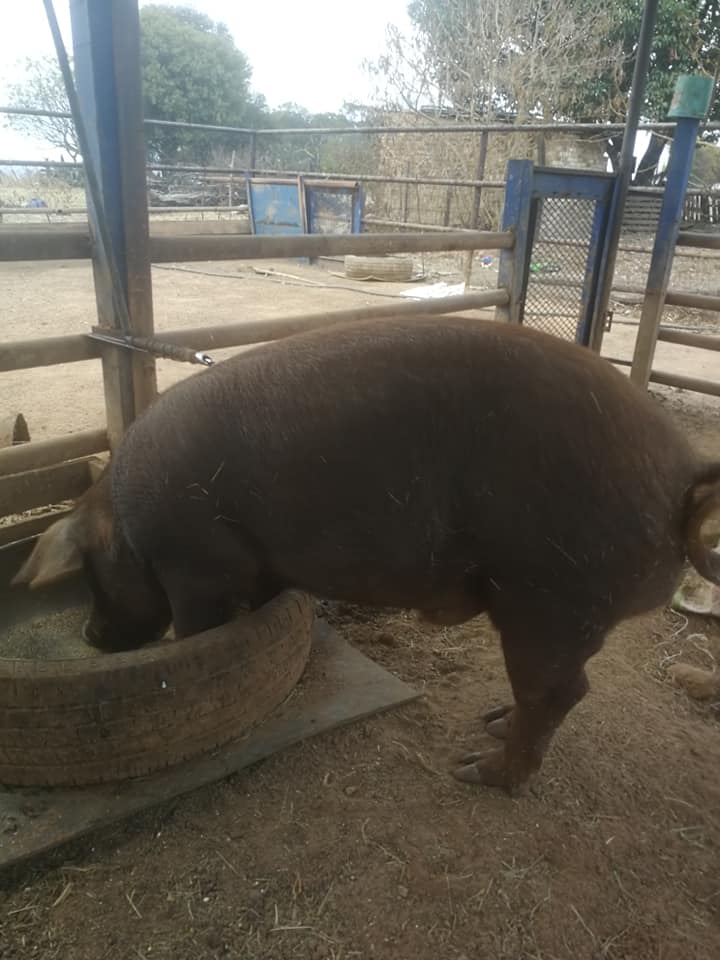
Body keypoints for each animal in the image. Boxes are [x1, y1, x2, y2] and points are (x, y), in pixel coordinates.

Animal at [12, 316, 720, 793]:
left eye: (92, 576)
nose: (90, 636)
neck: (126, 522)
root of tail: (681, 469)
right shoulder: (260, 565)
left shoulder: (196, 567)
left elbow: (196, 635)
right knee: (553, 691)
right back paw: (490, 722)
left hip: (552, 592)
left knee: (561, 691)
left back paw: (477, 771)